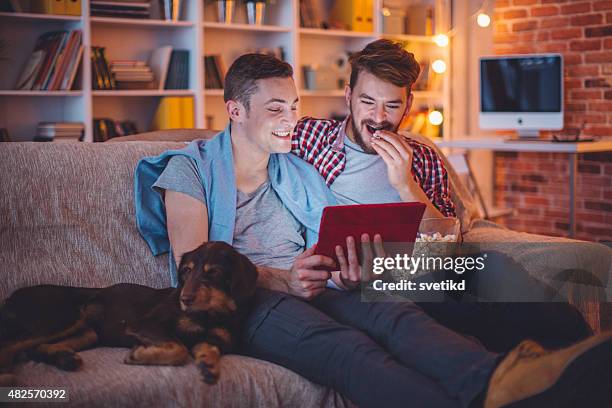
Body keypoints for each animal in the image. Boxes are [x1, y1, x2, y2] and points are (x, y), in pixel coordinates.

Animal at [0, 242, 258, 386]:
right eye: (186, 271)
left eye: (214, 272)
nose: (184, 299)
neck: (210, 314)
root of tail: (10, 297)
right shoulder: (145, 324)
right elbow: (179, 348)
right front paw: (140, 355)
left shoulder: (215, 338)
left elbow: (208, 346)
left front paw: (208, 364)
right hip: (59, 317)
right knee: (10, 345)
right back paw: (7, 378)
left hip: (87, 332)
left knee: (35, 348)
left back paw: (65, 359)